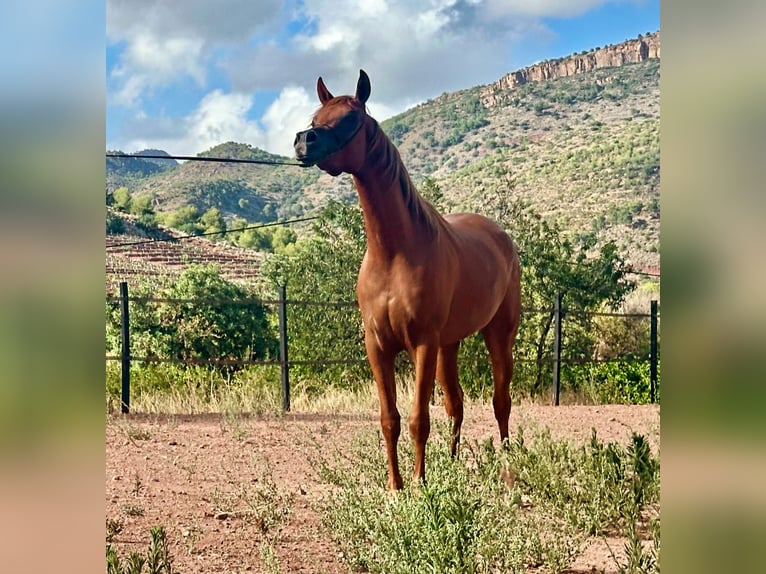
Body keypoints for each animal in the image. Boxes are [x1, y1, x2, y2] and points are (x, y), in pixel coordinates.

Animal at [295, 70, 521, 490]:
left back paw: (508, 466)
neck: (394, 254)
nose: (304, 142)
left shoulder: (422, 344)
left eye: (351, 118)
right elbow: (390, 420)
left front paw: (419, 483)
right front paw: (396, 486)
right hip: (450, 344)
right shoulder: (378, 347)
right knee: (456, 402)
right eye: (315, 116)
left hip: (498, 334)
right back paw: (452, 464)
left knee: (501, 401)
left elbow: (418, 419)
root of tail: (501, 237)